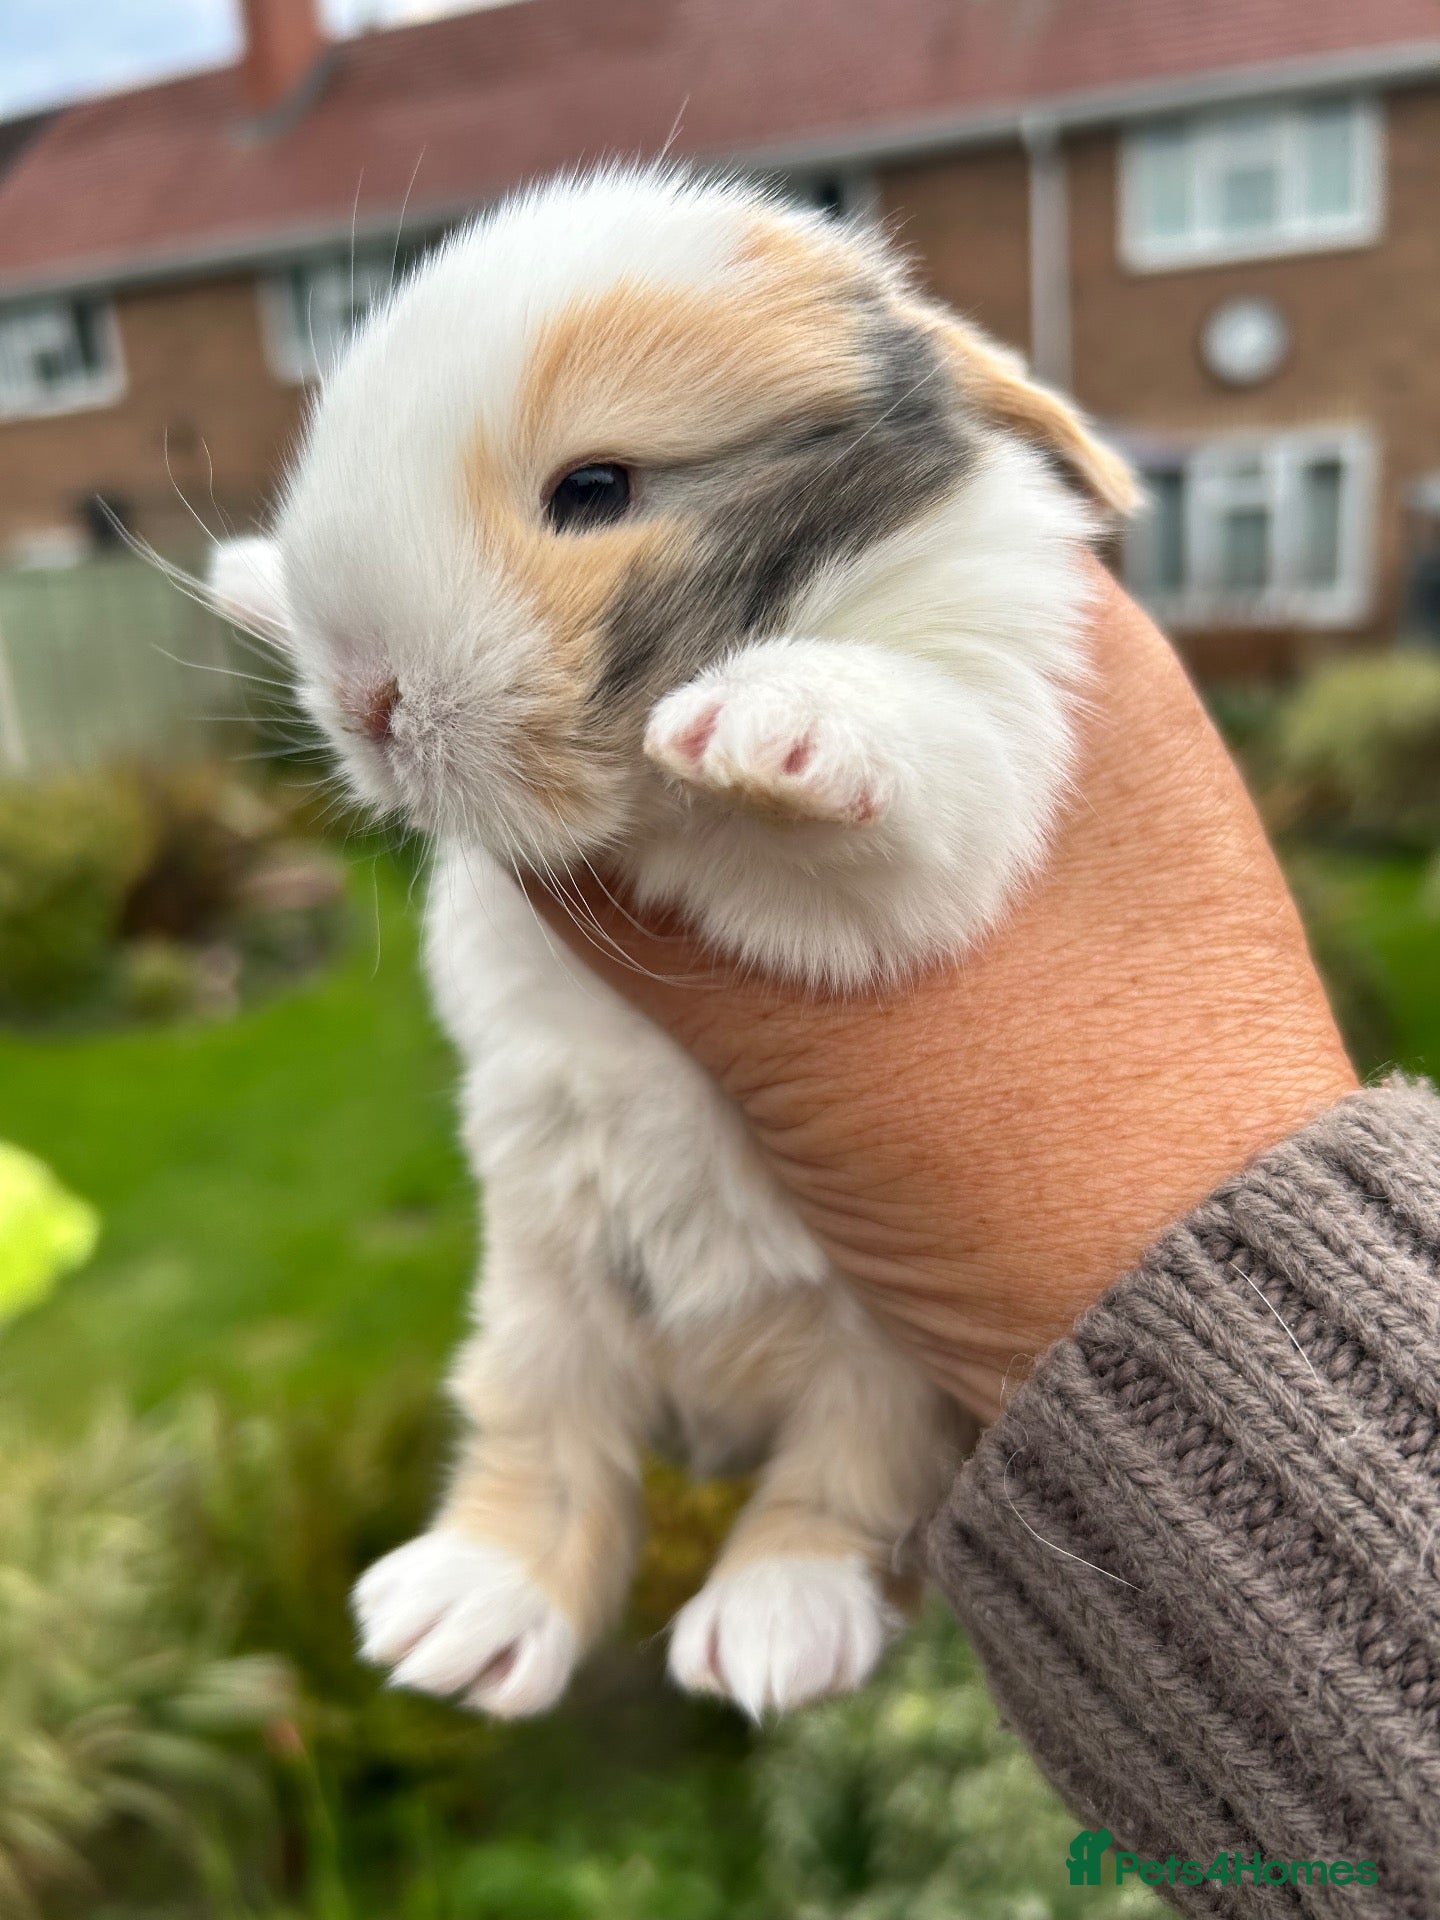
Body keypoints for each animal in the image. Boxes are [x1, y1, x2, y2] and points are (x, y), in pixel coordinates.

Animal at [208, 165, 1136, 1721]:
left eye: (596, 491)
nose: (368, 702)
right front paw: (247, 579)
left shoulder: (966, 776)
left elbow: (894, 749)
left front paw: (765, 723)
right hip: (542, 1301)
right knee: (542, 1450)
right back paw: (455, 1622)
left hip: (880, 1364)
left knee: (837, 1491)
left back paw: (764, 1633)